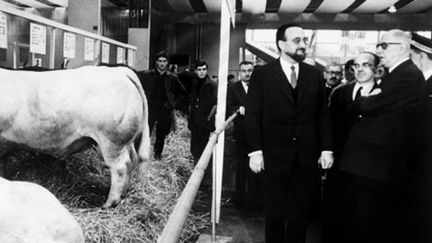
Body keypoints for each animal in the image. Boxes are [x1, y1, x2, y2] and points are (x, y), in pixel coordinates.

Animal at [0, 66, 150, 207]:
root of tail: (118, 71)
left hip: (112, 141)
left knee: (120, 167)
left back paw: (109, 203)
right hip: (126, 141)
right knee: (132, 161)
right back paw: (123, 193)